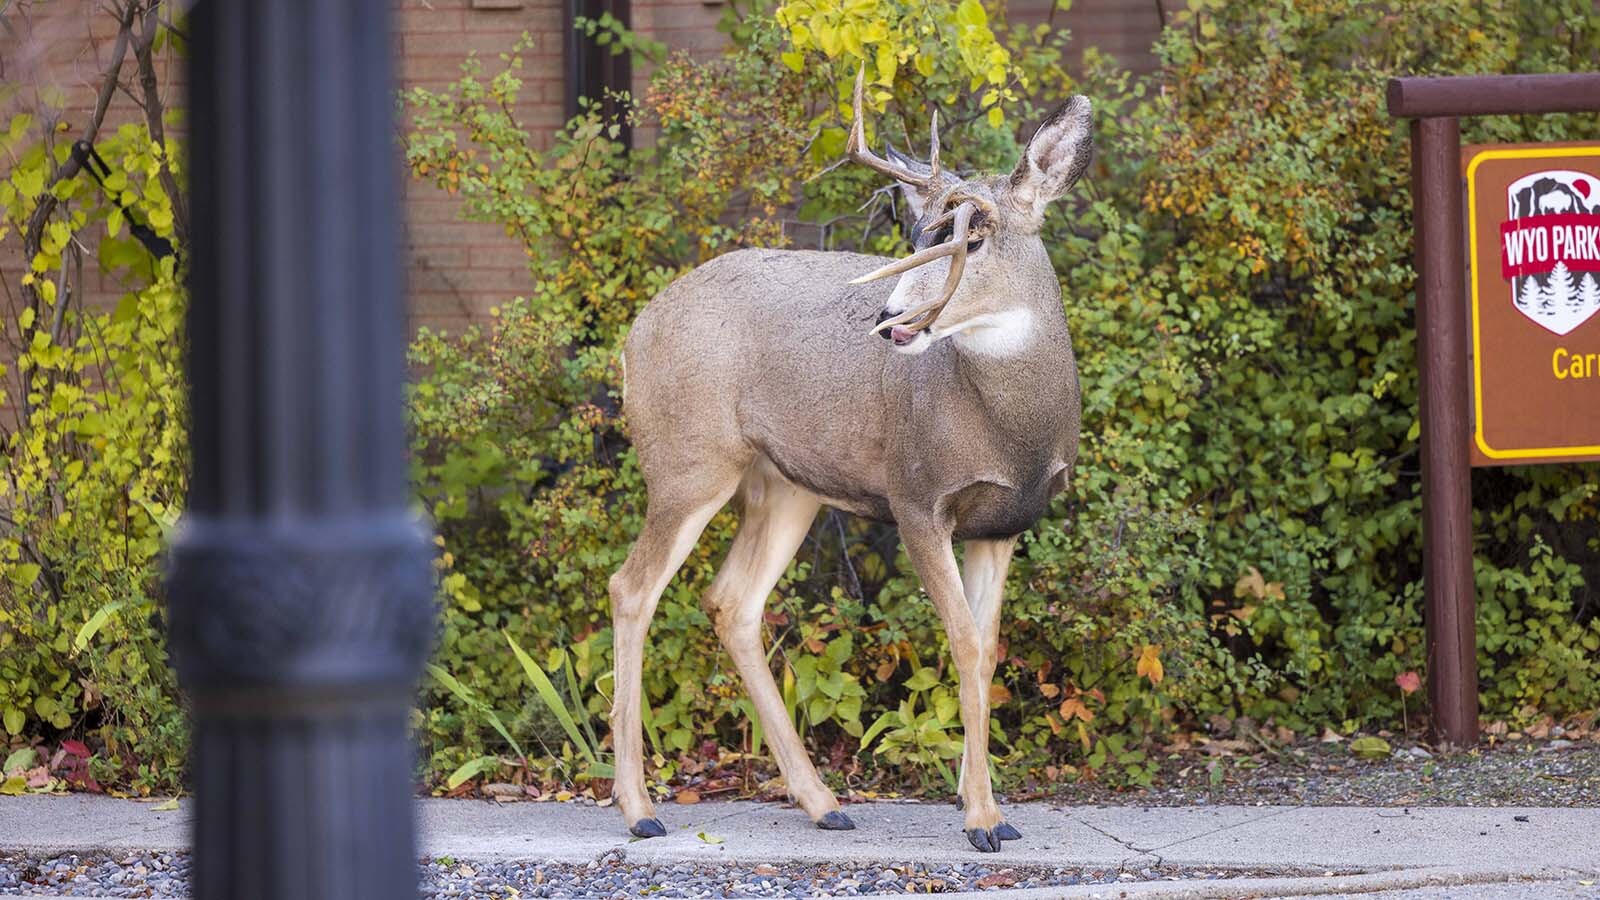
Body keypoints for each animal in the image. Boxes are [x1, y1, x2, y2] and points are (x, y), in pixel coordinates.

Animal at [607, 68, 1091, 853]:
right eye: (921, 233)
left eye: (977, 235)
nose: (891, 318)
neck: (1009, 429)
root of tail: (633, 334)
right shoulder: (917, 497)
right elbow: (961, 642)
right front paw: (984, 820)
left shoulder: (1002, 524)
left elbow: (988, 649)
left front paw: (979, 800)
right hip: (687, 462)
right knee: (632, 588)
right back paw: (639, 808)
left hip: (787, 486)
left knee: (732, 600)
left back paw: (823, 801)